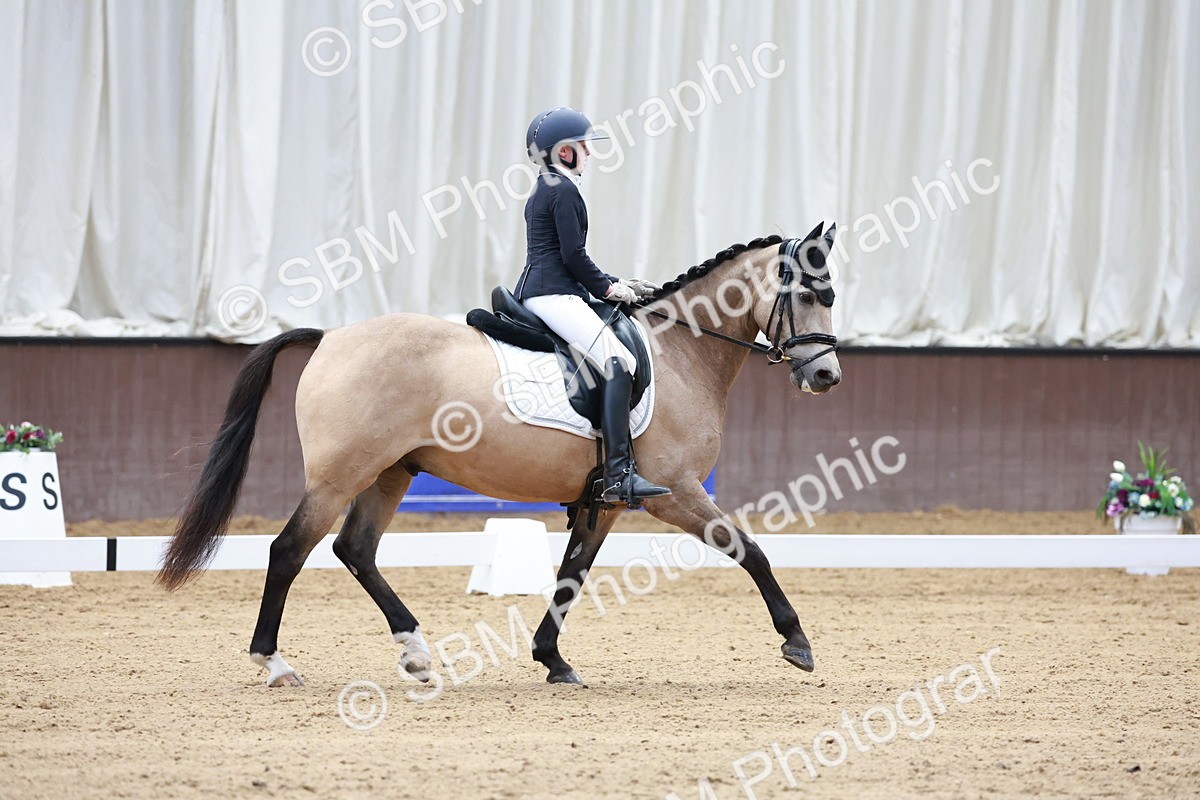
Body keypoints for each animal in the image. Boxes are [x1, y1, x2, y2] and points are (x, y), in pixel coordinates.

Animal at [157, 224, 843, 688]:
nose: (827, 376)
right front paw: (798, 643)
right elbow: (750, 550)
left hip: (389, 473)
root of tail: (330, 338)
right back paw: (274, 663)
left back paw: (415, 653)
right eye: (813, 292)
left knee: (355, 550)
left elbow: (571, 575)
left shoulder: (605, 501)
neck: (681, 351)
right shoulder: (676, 491)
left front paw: (553, 660)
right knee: (288, 551)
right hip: (339, 476)